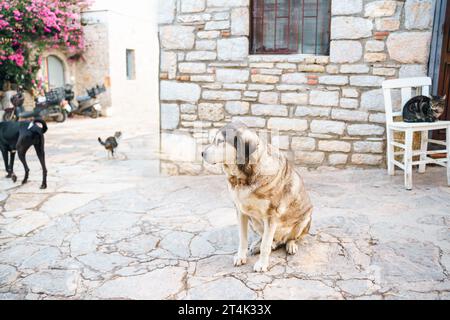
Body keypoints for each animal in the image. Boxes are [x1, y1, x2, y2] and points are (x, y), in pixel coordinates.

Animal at [204, 122, 312, 272]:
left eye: (220, 141)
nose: (202, 153)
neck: (244, 177)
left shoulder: (271, 215)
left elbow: (265, 245)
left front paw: (262, 264)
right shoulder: (240, 211)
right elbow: (243, 239)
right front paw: (241, 256)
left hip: (305, 218)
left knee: (289, 238)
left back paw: (290, 244)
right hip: (254, 222)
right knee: (271, 240)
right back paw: (256, 245)